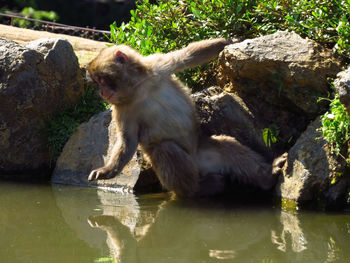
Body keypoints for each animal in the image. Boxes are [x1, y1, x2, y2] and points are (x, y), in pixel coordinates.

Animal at [87, 39, 288, 198]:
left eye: (102, 80)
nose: (101, 92)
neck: (138, 88)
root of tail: (199, 165)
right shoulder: (122, 109)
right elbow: (127, 140)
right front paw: (107, 171)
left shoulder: (158, 65)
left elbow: (189, 56)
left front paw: (231, 41)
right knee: (165, 149)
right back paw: (198, 190)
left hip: (205, 153)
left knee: (226, 145)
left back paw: (267, 176)